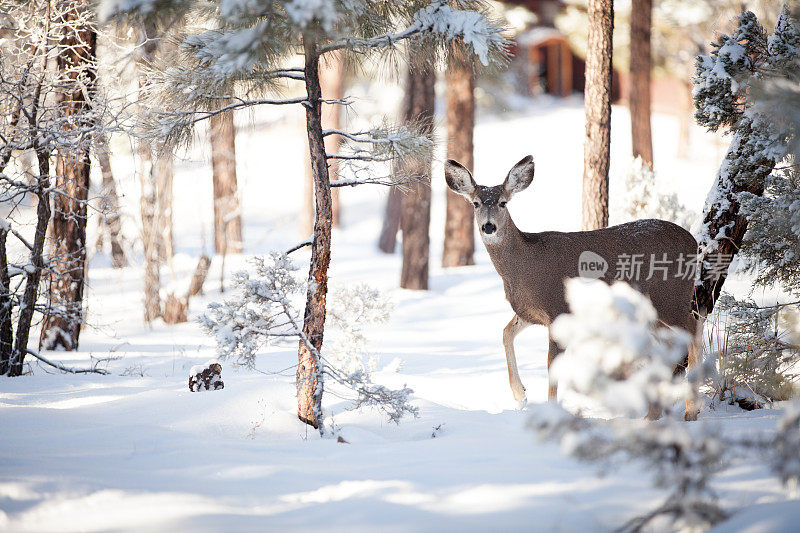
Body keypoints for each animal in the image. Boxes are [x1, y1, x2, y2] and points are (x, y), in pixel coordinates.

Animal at [444, 154, 700, 420]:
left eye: (503, 203)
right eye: (475, 203)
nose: (489, 227)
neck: (524, 268)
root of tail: (693, 241)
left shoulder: (558, 306)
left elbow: (551, 364)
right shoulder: (530, 312)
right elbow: (505, 333)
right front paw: (520, 395)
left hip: (671, 296)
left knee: (693, 329)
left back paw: (690, 410)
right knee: (670, 344)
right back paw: (652, 415)